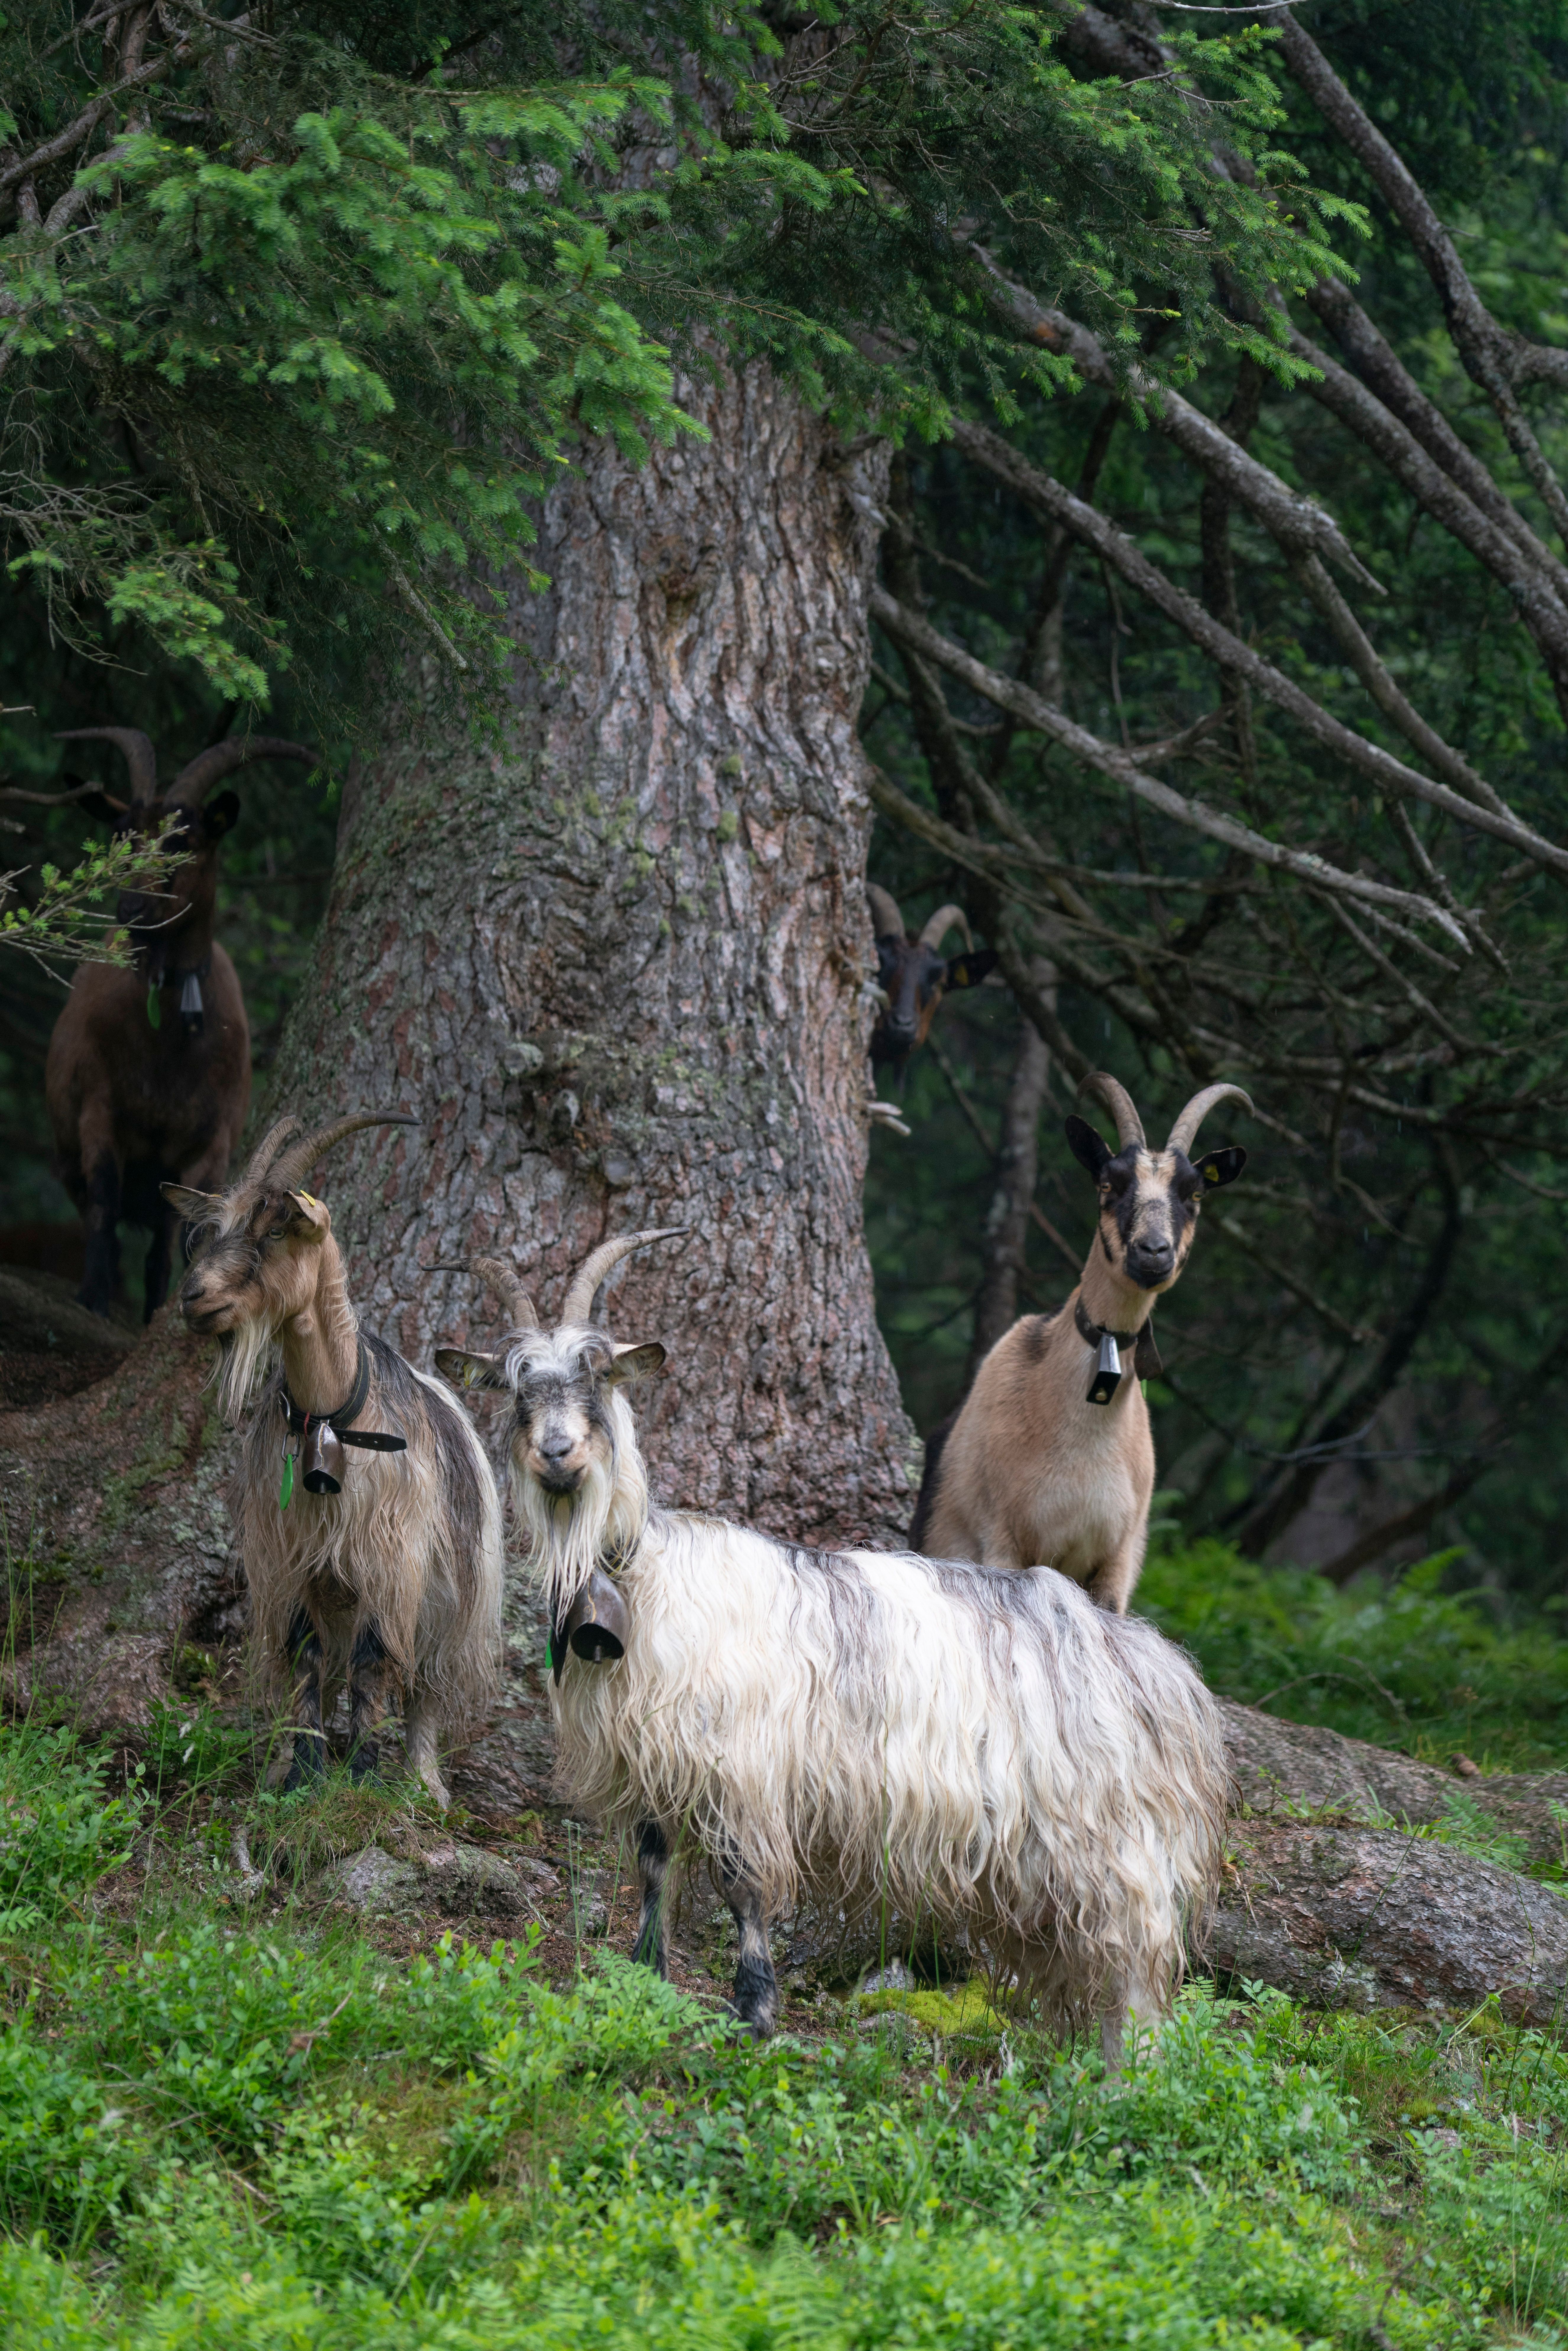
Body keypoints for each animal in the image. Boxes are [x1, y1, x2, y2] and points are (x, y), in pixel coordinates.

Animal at [45, 725, 314, 1319]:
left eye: (182, 840)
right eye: (122, 835)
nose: (131, 908)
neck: (164, 1047)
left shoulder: (207, 1143)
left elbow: (183, 1233)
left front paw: (154, 1311)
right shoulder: (100, 1107)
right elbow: (104, 1201)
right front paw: (93, 1297)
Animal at [166, 1110, 503, 1804]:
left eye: (276, 1229)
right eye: (210, 1232)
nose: (194, 1297)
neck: (330, 1420)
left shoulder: (390, 1560)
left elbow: (374, 1662)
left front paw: (365, 1776)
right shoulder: (290, 1561)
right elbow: (306, 1661)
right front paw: (303, 1774)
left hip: (453, 1595)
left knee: (426, 1684)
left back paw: (425, 1783)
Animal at [435, 1229, 1229, 2061]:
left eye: (598, 1374)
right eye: (516, 1390)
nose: (557, 1453)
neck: (640, 1577)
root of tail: (1161, 1670)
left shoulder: (740, 1765)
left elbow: (741, 1884)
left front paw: (753, 2013)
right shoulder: (654, 1764)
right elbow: (656, 1875)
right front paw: (645, 1985)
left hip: (1112, 1840)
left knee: (1136, 1954)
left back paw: (1133, 2069)